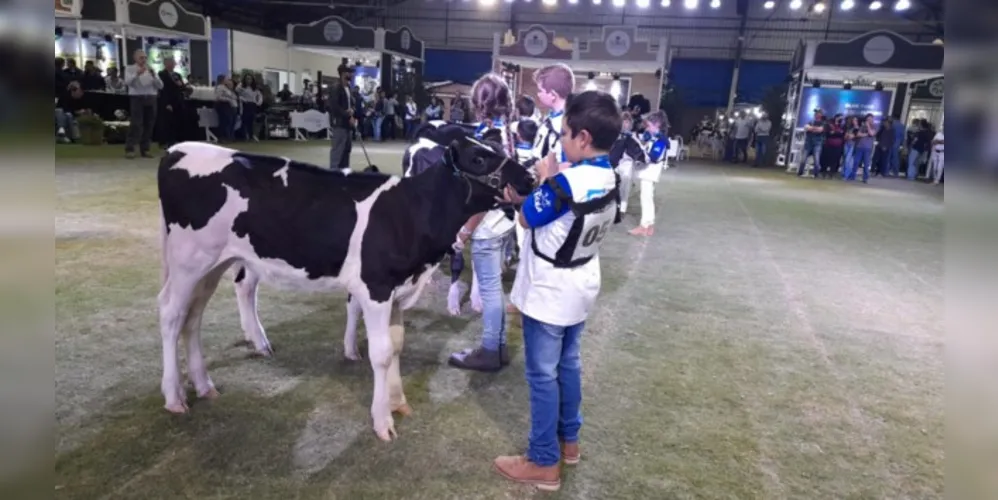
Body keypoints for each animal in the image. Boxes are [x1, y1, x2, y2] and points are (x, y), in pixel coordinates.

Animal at [157, 139, 536, 440]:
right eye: (478, 158)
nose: (530, 177)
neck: (409, 212)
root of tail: (178, 149)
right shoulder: (376, 287)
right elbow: (381, 353)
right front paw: (382, 420)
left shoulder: (397, 290)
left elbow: (396, 346)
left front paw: (398, 403)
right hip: (188, 261)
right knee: (172, 313)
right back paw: (174, 396)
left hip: (211, 265)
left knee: (194, 317)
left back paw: (204, 386)